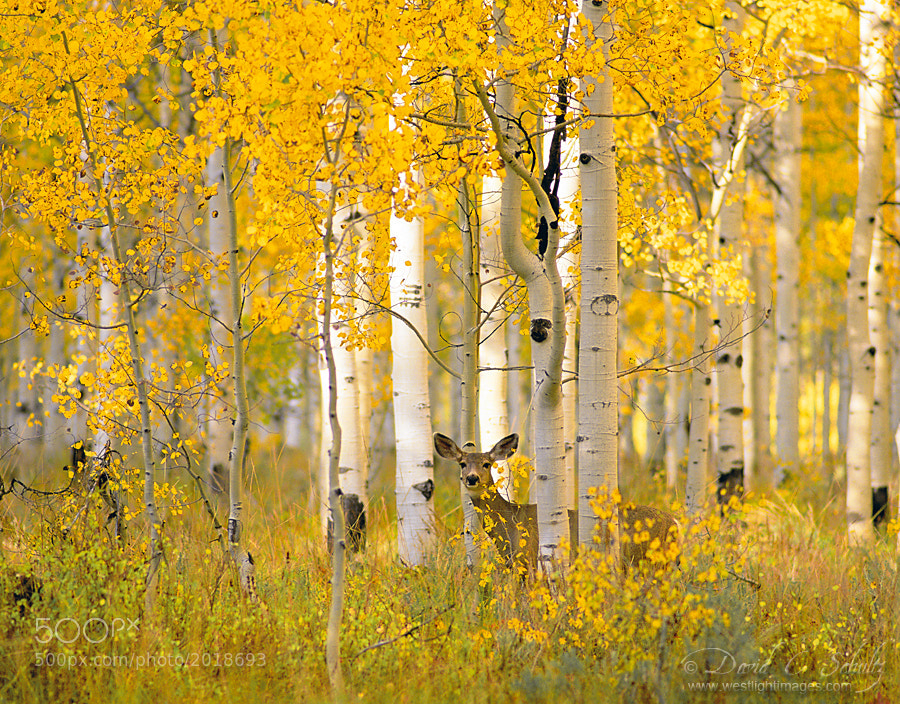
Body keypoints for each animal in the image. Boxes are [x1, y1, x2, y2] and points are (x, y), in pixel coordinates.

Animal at [433, 432, 678, 576]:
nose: (471, 478)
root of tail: (675, 522)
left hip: (647, 561)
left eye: (486, 463)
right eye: (462, 463)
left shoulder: (530, 559)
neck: (510, 526)